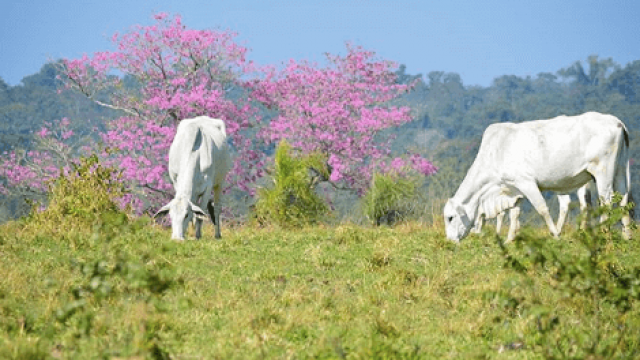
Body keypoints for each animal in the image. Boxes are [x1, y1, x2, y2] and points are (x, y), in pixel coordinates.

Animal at [442, 111, 632, 243]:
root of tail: (616, 122)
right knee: (623, 200)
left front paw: (555, 236)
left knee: (605, 201)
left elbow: (542, 209)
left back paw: (604, 234)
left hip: (603, 172)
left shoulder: (526, 183)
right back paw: (627, 236)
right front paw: (509, 239)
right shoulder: (514, 188)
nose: (450, 241)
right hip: (620, 170)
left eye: (450, 217)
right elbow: (514, 214)